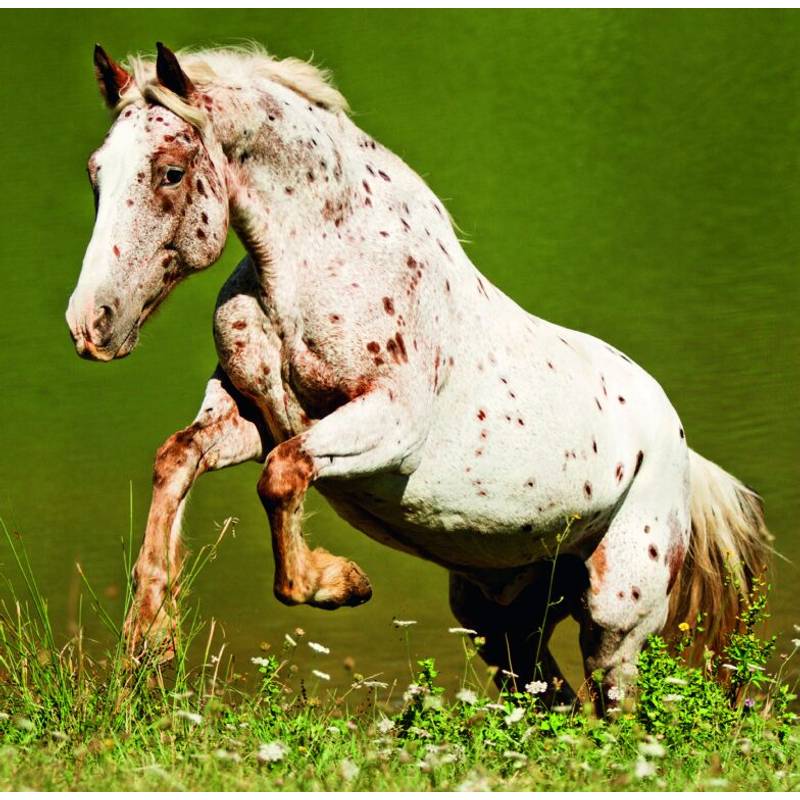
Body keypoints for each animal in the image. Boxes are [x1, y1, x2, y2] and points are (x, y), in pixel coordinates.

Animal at [66, 42, 772, 707]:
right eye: (96, 173)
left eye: (171, 172)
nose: (91, 324)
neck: (307, 272)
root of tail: (680, 447)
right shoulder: (252, 415)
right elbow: (177, 459)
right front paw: (150, 636)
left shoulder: (389, 426)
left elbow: (283, 479)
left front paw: (341, 583)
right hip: (502, 618)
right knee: (554, 704)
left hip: (615, 613)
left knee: (612, 712)